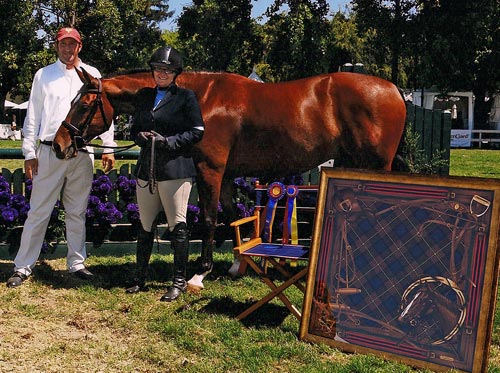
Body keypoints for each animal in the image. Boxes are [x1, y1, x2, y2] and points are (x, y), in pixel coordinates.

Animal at [51, 69, 406, 288]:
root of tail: (394, 91)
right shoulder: (225, 176)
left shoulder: (210, 170)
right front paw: (240, 264)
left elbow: (209, 219)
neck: (202, 97)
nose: (59, 144)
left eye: (84, 103)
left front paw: (199, 274)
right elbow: (235, 216)